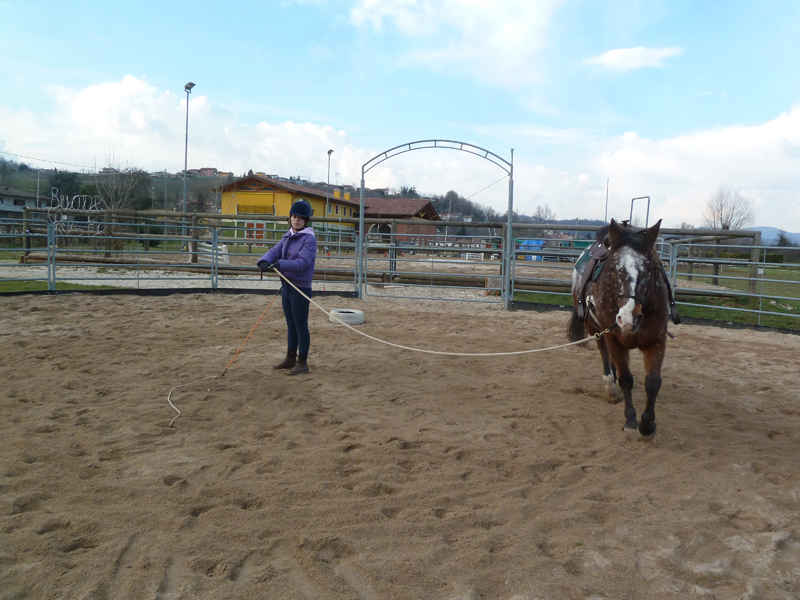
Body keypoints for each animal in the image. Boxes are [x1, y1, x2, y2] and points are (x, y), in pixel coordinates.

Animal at [567, 218, 673, 440]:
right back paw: (611, 388)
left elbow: (652, 382)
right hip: (594, 329)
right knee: (605, 356)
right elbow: (626, 380)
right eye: (614, 269)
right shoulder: (613, 338)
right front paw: (631, 421)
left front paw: (647, 425)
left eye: (649, 269)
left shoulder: (657, 340)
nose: (627, 318)